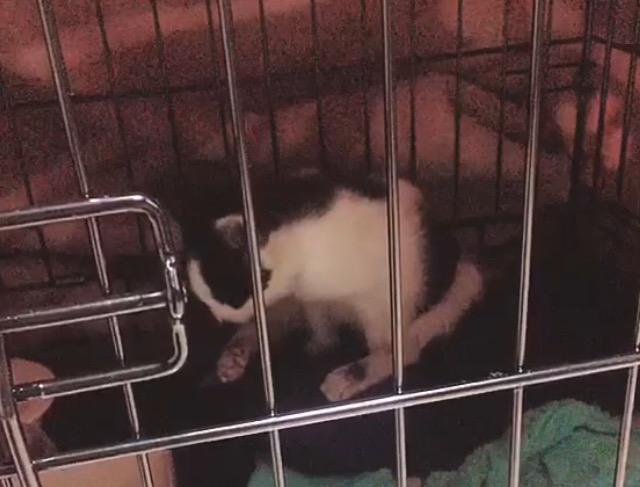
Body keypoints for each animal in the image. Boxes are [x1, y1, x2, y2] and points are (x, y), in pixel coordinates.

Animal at [186, 170, 483, 401]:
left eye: (227, 297)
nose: (219, 318)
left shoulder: (384, 296)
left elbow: (393, 351)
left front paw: (353, 373)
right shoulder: (310, 299)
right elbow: (319, 323)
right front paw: (321, 344)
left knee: (407, 348)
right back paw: (234, 355)